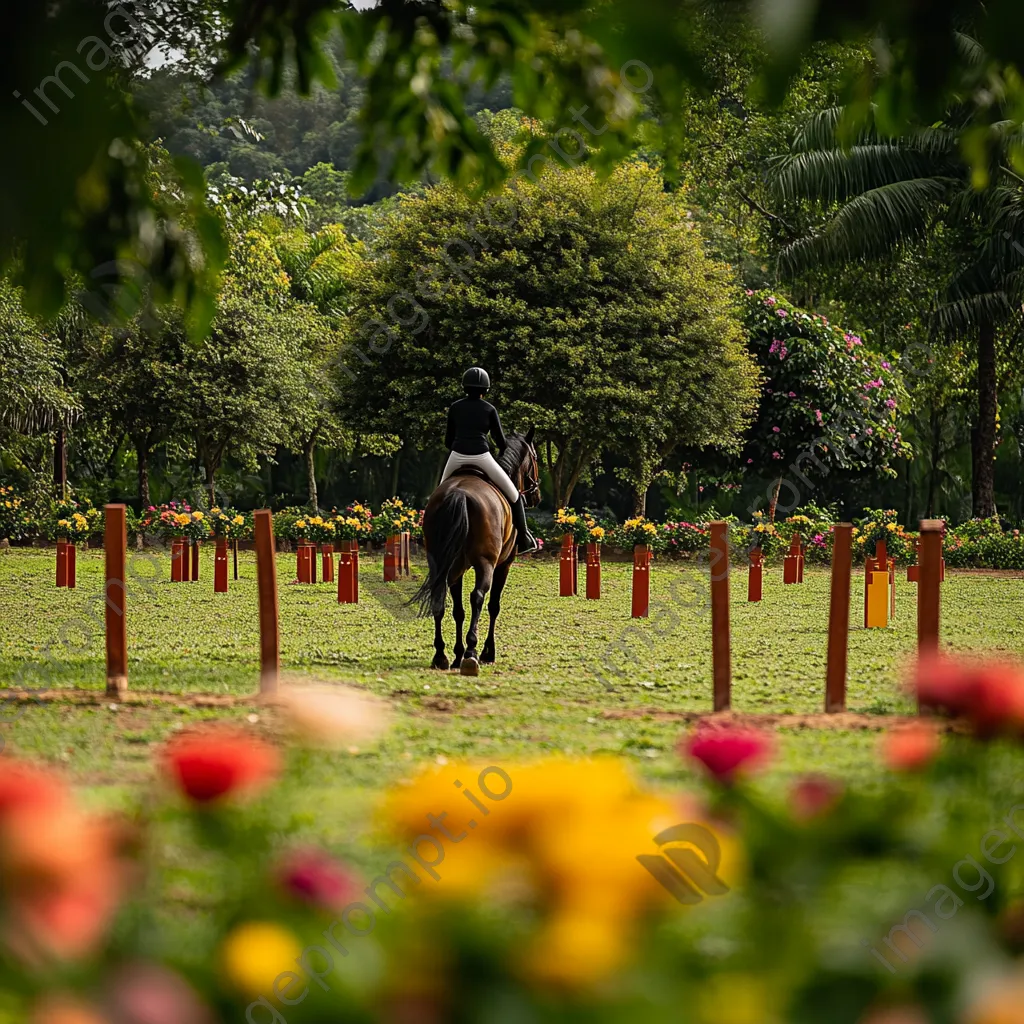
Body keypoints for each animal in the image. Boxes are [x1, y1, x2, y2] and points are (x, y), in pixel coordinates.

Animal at [415, 428, 544, 675]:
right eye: (535, 458)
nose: (537, 497)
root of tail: (459, 493)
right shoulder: (504, 564)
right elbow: (494, 606)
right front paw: (487, 653)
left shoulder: (456, 567)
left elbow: (458, 610)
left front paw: (457, 654)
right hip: (486, 564)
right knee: (478, 597)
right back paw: (472, 654)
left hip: (444, 563)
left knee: (440, 597)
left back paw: (441, 656)